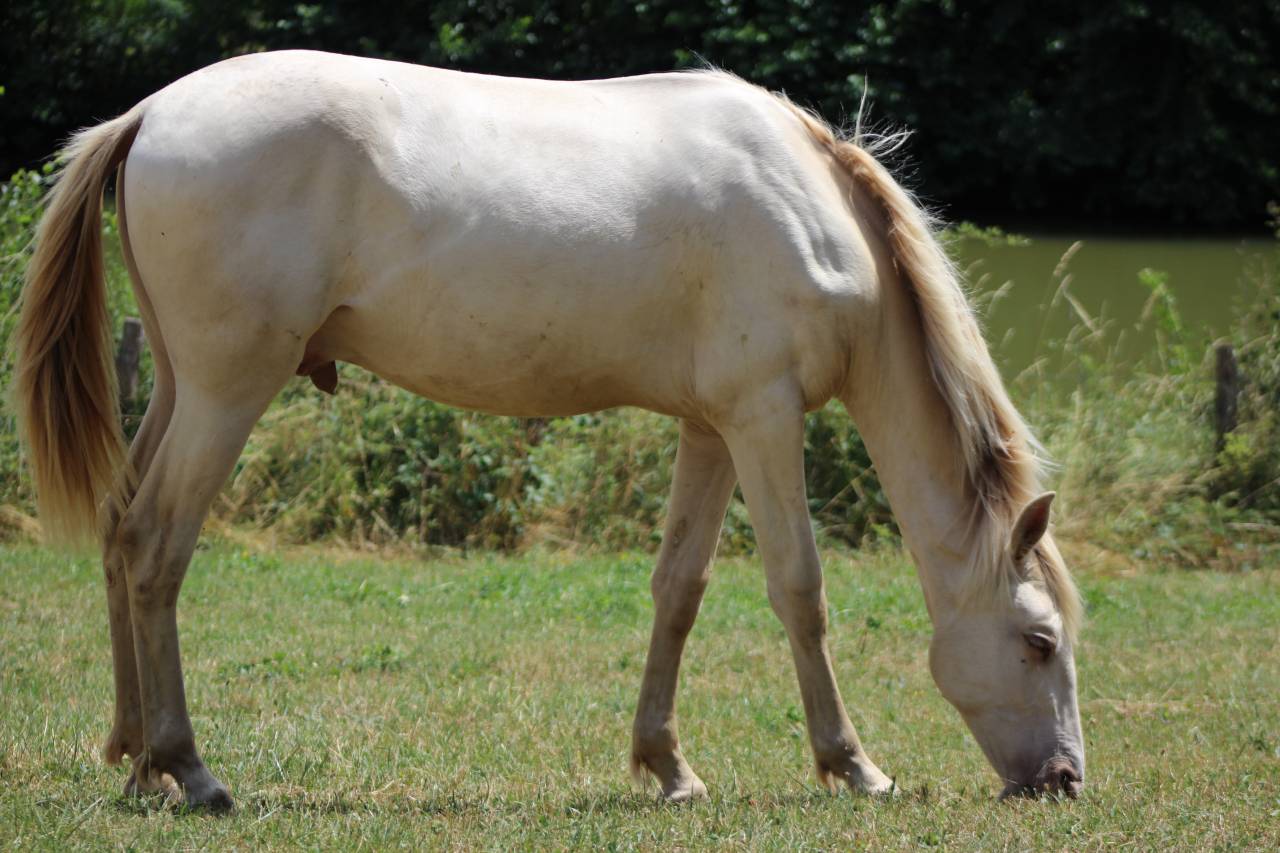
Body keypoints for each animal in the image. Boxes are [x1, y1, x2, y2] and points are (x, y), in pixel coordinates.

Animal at [14, 50, 1084, 811]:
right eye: (1037, 642)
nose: (1065, 780)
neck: (813, 207)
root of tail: (152, 111)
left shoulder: (711, 428)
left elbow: (679, 589)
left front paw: (667, 766)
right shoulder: (764, 416)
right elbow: (800, 590)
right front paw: (852, 764)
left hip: (179, 387)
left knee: (117, 533)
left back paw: (136, 759)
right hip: (227, 393)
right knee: (156, 545)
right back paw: (189, 768)